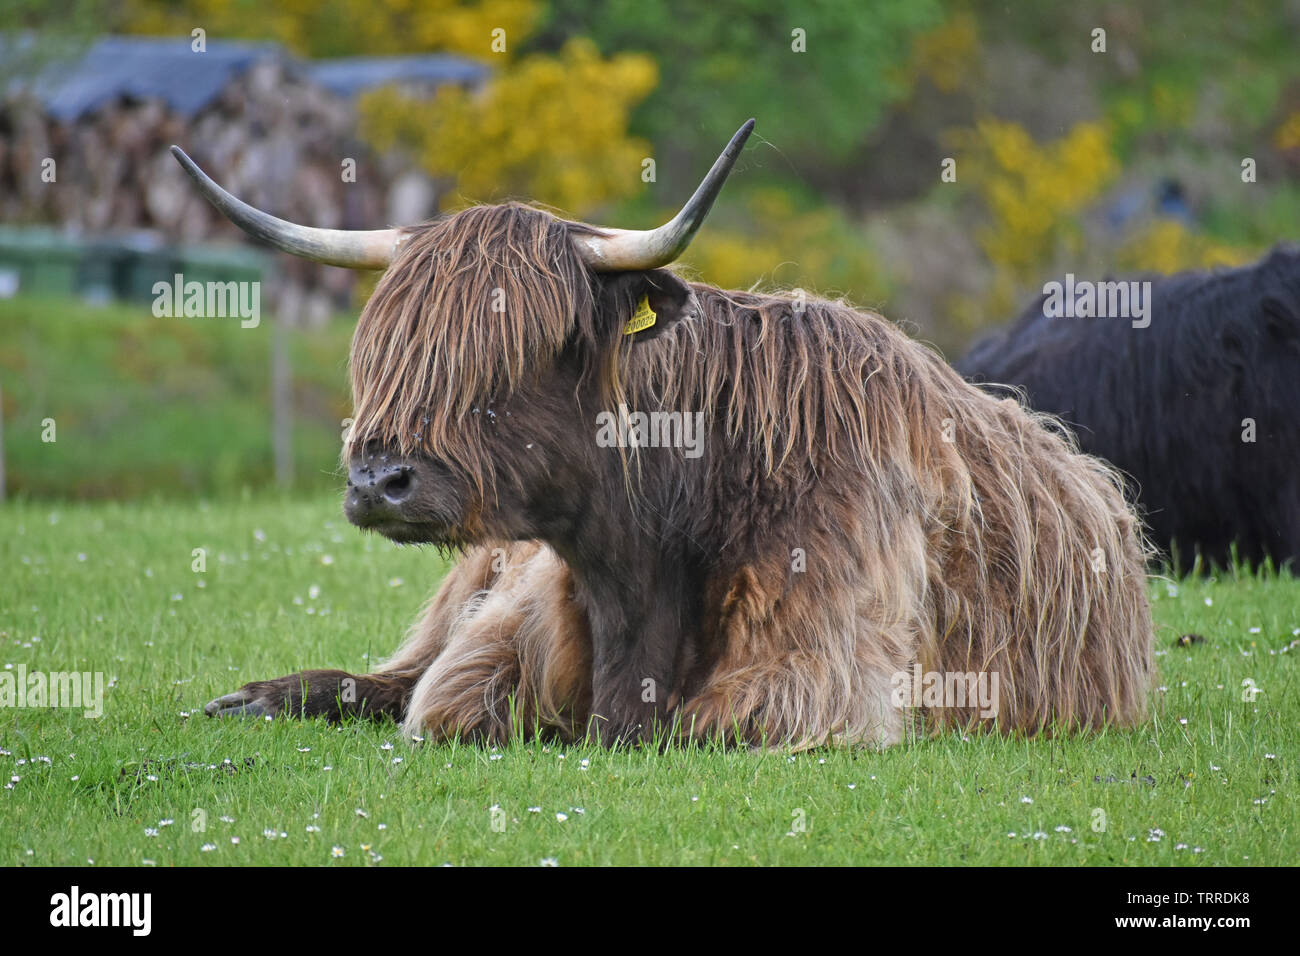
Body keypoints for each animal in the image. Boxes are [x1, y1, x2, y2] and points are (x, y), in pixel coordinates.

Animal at [178, 121, 1154, 749]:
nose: (380, 480)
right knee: (392, 673)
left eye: (528, 348)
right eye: (383, 348)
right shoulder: (493, 647)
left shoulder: (817, 672)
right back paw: (253, 700)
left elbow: (701, 723)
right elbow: (440, 700)